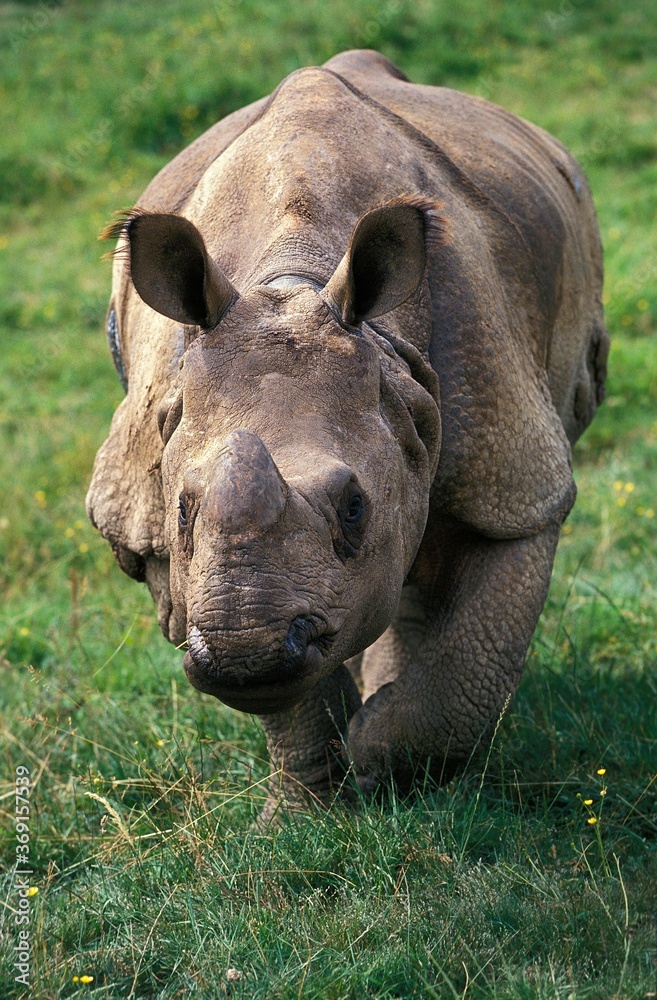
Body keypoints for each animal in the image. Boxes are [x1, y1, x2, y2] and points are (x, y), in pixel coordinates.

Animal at [87, 49, 608, 811]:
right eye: (182, 509)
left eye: (355, 507)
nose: (245, 650)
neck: (291, 282)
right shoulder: (148, 513)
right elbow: (292, 700)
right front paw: (307, 811)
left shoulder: (516, 483)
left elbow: (475, 656)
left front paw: (383, 763)